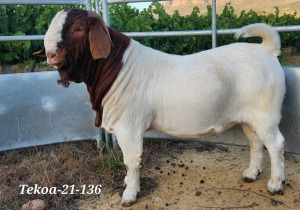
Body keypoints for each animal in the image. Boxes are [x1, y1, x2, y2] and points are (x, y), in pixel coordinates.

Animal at [34, 9, 288, 208]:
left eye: (78, 28)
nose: (51, 54)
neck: (117, 68)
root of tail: (267, 49)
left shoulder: (129, 127)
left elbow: (131, 160)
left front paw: (129, 194)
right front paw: (128, 184)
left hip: (265, 114)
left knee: (276, 144)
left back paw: (275, 184)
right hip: (248, 117)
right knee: (256, 142)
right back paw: (251, 174)